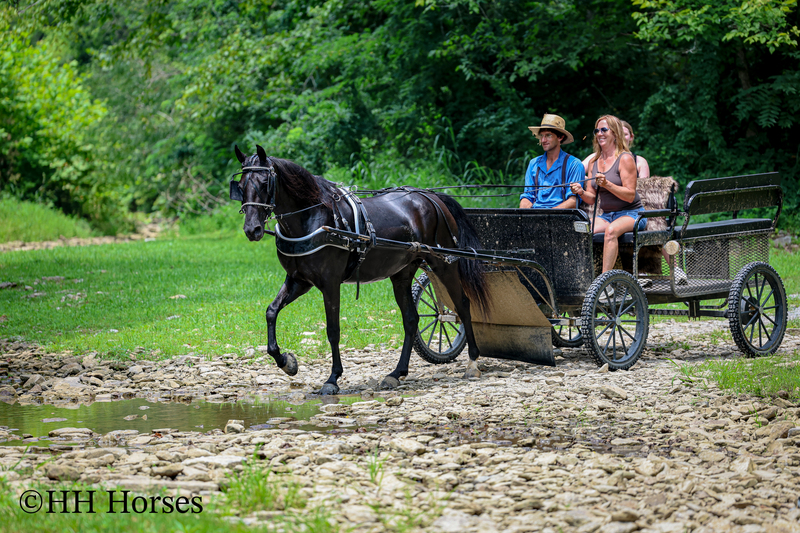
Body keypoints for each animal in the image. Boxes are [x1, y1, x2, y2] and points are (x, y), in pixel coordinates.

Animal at [231, 145, 490, 395]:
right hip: (402, 274)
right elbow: (271, 311)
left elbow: (333, 329)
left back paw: (472, 362)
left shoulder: (330, 283)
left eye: (264, 183)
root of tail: (431, 197)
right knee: (411, 319)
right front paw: (286, 362)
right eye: (241, 186)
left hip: (444, 264)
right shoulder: (299, 280)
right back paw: (396, 373)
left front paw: (332, 379)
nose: (252, 229)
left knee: (463, 305)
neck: (313, 217)